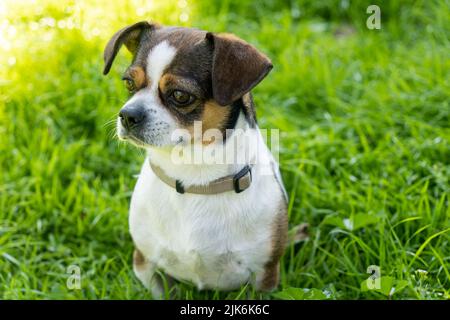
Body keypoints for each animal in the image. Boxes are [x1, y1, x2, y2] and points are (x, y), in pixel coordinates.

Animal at [103, 21, 288, 298]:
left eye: (180, 96)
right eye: (129, 84)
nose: (127, 115)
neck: (194, 177)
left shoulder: (264, 275)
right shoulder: (147, 265)